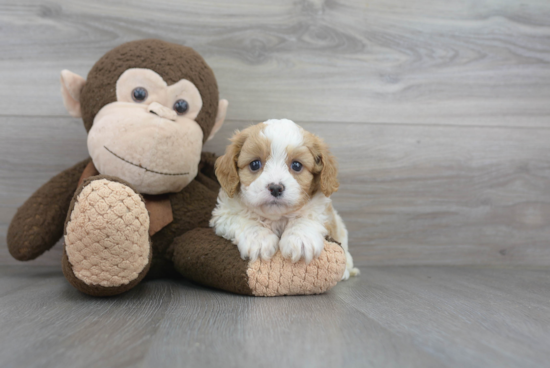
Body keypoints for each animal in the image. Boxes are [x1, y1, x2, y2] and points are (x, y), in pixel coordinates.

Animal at [211, 119, 362, 280]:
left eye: (296, 165)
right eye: (255, 164)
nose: (275, 188)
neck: (276, 217)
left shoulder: (322, 210)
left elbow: (306, 217)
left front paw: (300, 239)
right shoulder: (223, 213)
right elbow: (242, 219)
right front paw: (259, 239)